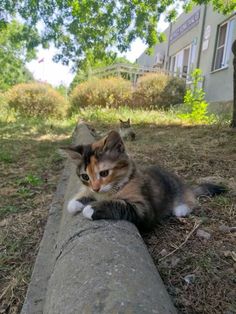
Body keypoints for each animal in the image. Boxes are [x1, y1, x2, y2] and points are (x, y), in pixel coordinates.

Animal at [62, 130, 227, 231]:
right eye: (85, 177)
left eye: (104, 173)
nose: (96, 188)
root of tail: (185, 185)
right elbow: (86, 194)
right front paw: (75, 202)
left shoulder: (144, 209)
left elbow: (120, 205)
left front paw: (92, 208)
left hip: (178, 191)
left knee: (192, 201)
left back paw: (181, 209)